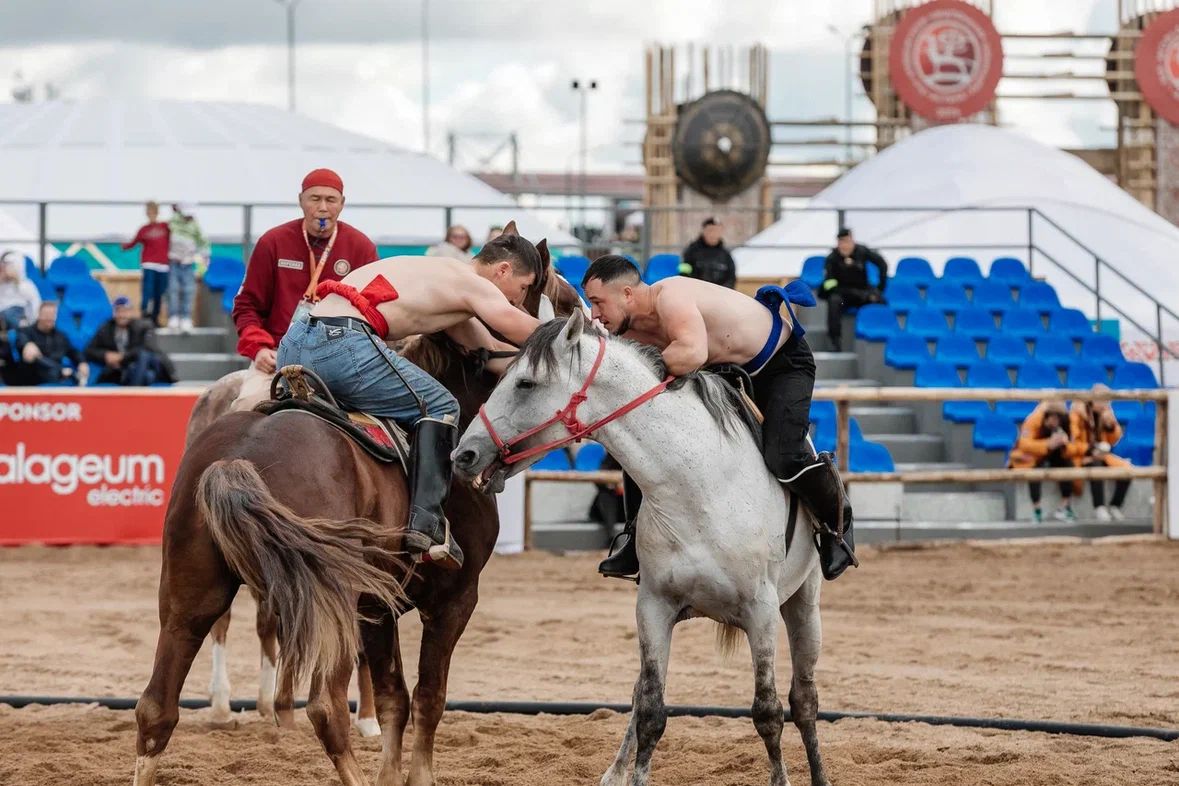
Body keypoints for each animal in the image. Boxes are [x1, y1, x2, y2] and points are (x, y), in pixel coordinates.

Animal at [450, 311, 830, 786]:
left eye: (525, 383)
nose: (463, 454)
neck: (699, 486)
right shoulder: (653, 606)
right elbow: (650, 708)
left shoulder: (761, 612)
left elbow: (768, 712)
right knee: (639, 694)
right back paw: (614, 771)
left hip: (803, 605)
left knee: (805, 700)